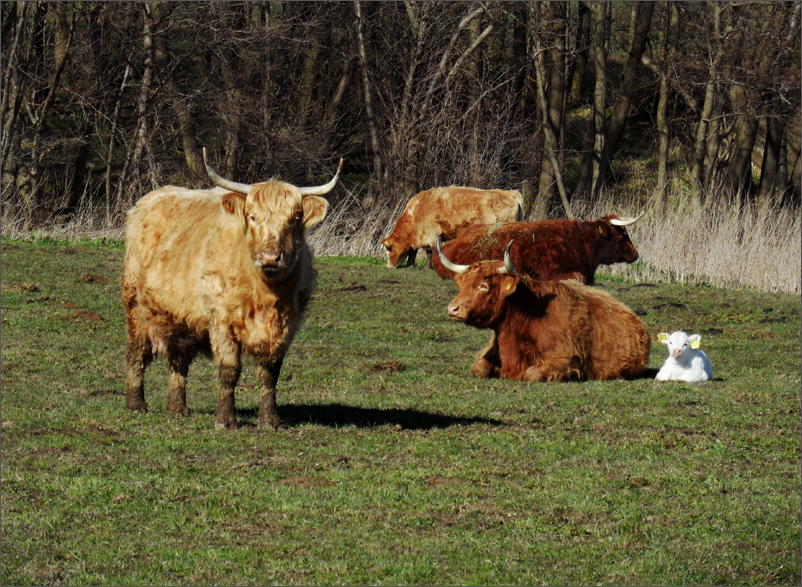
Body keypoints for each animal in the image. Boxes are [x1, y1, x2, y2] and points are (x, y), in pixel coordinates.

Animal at [378, 187, 520, 270]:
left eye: (389, 249)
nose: (388, 266)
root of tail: (509, 193)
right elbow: (414, 252)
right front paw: (410, 265)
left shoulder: (431, 234)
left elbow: (430, 251)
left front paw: (428, 267)